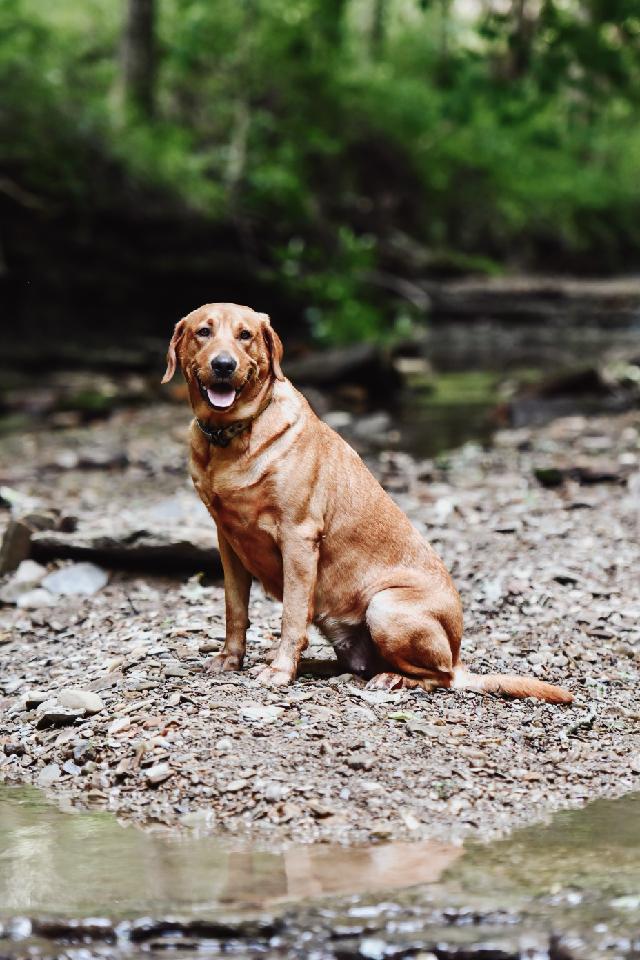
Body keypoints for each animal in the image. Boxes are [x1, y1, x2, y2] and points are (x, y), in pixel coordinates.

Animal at [162, 306, 572, 704]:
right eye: (203, 332)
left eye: (245, 335)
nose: (223, 365)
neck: (229, 438)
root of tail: (458, 657)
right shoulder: (228, 542)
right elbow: (235, 610)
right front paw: (230, 660)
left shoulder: (298, 537)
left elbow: (292, 616)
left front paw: (280, 670)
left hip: (385, 607)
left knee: (437, 677)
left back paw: (391, 678)